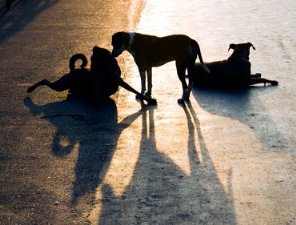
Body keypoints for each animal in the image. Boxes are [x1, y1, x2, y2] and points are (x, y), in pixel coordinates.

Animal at [27, 45, 157, 106]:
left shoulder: (119, 80)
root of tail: (73, 70)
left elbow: (135, 91)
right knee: (45, 80)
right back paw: (31, 88)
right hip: (61, 84)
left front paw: (148, 99)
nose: (94, 47)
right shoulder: (97, 79)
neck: (104, 69)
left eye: (101, 51)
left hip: (64, 84)